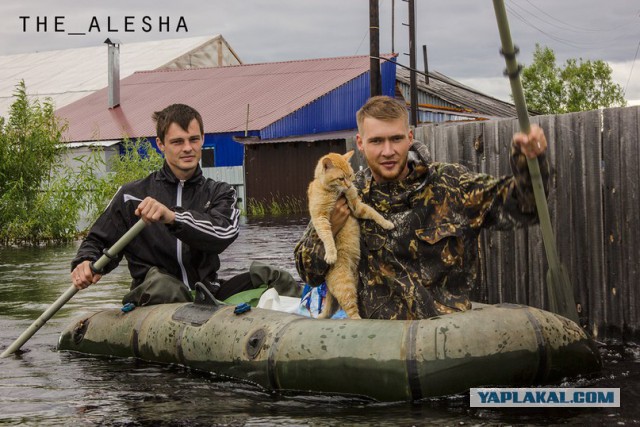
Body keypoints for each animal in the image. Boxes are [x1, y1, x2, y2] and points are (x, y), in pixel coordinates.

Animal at [308, 152, 392, 320]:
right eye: (341, 178)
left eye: (350, 175)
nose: (348, 186)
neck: (336, 192)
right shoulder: (320, 218)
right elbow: (327, 236)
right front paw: (331, 254)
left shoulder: (357, 206)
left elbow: (374, 213)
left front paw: (387, 223)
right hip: (345, 285)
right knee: (351, 312)